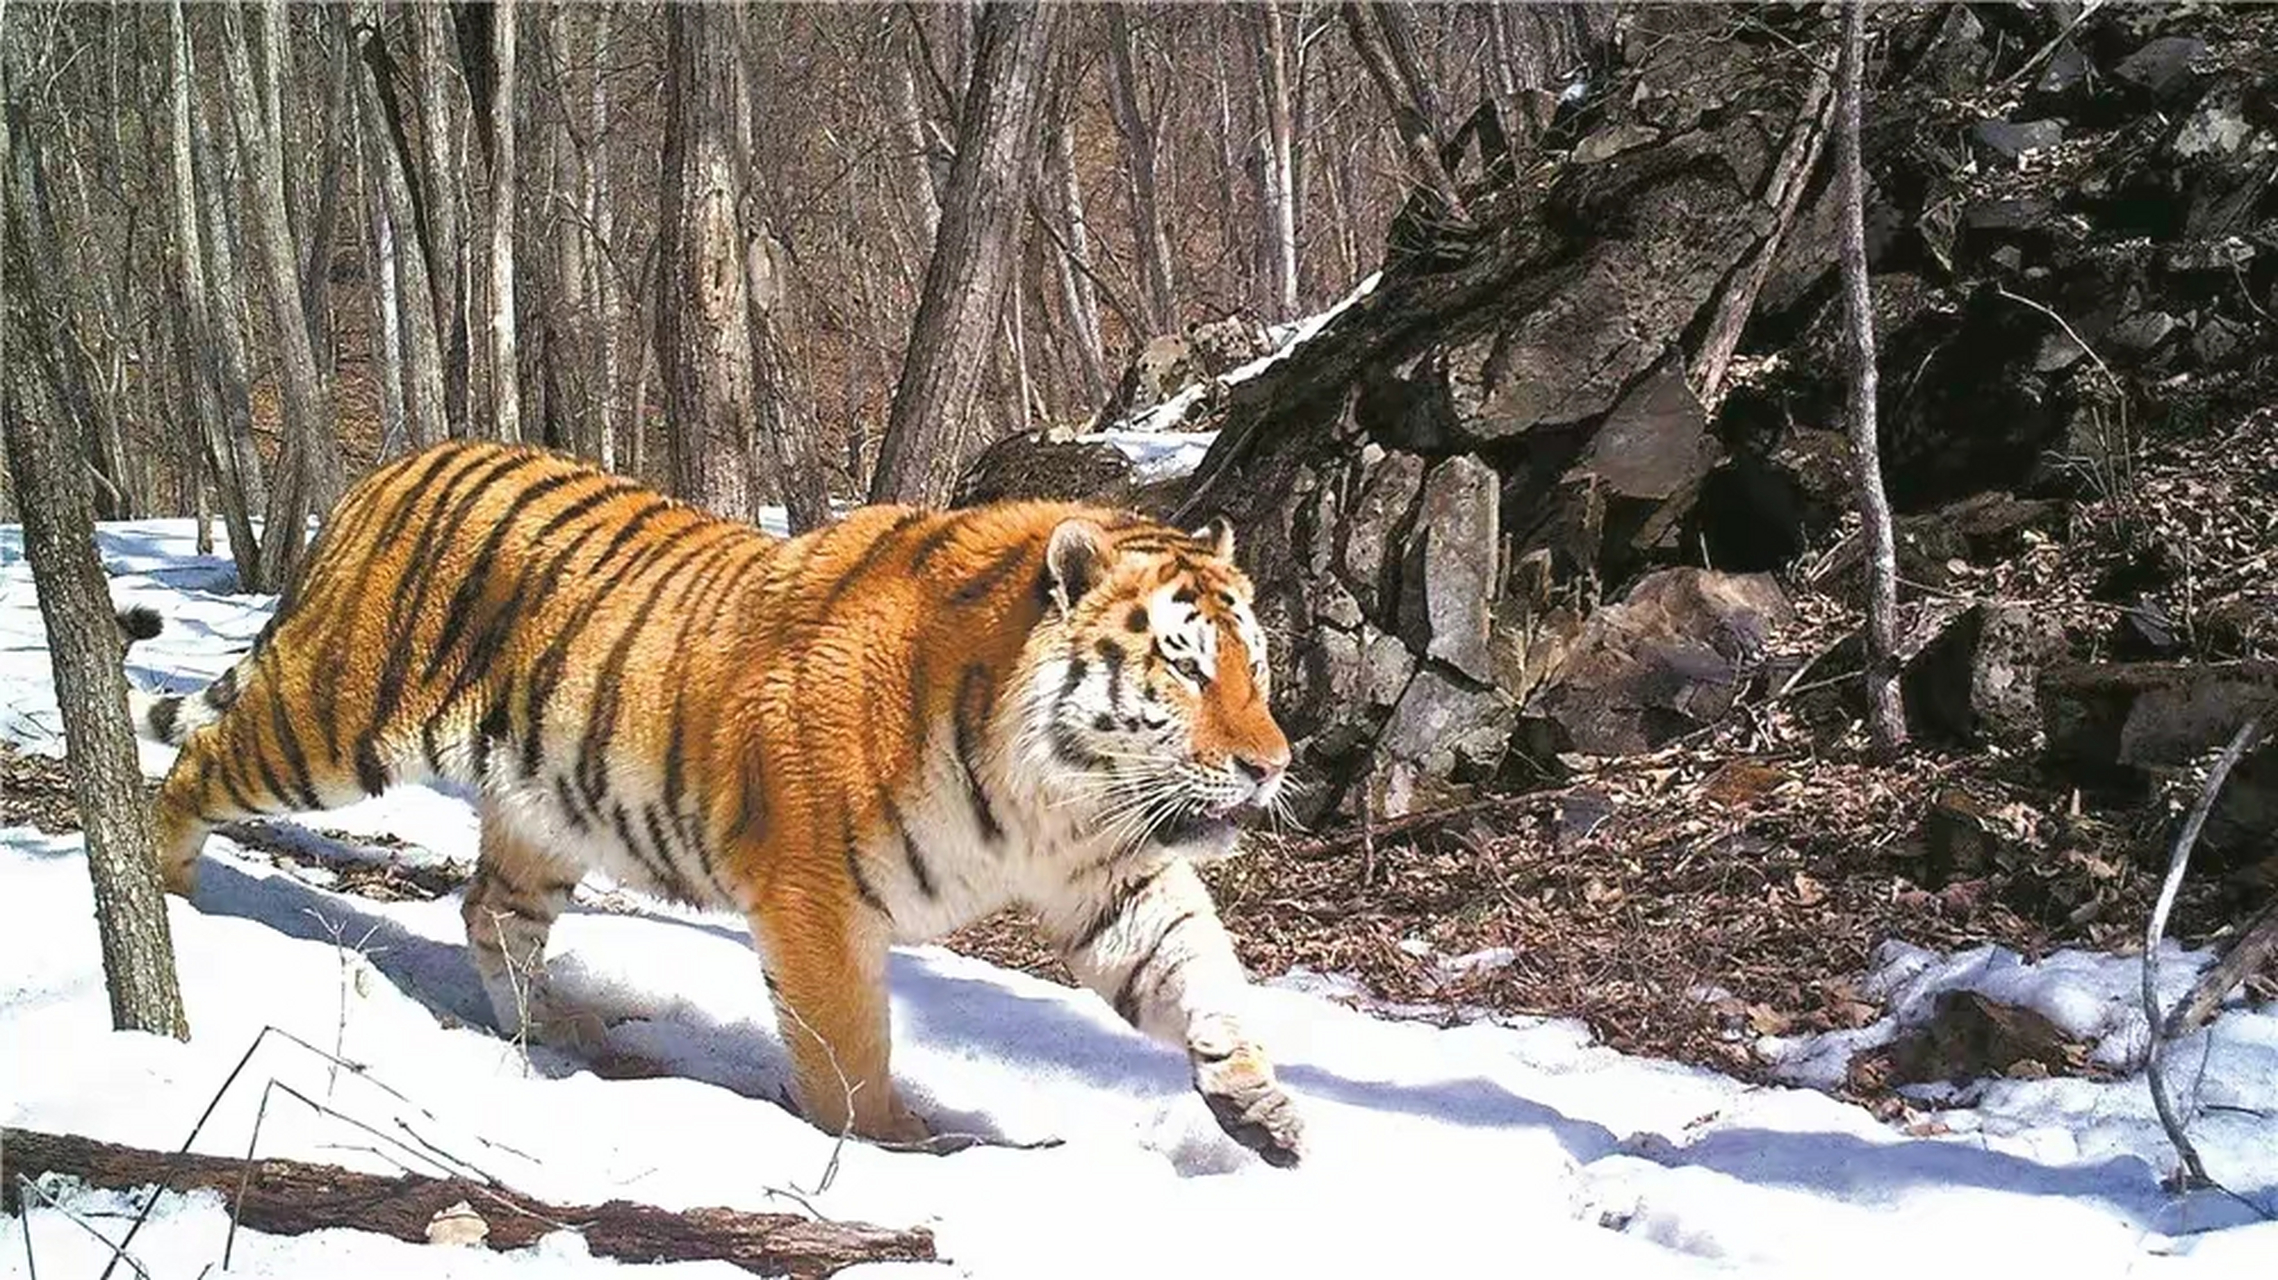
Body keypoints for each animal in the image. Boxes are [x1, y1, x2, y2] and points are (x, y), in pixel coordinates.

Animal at [120, 439, 1307, 1166]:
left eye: (1254, 664)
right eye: (1185, 667)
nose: (1271, 763)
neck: (1049, 792)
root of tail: (387, 468)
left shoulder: (1110, 870)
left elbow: (1197, 970)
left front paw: (1257, 1099)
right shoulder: (815, 892)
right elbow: (848, 1042)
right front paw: (892, 1145)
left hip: (541, 810)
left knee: (490, 911)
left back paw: (552, 1033)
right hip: (330, 721)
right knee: (195, 764)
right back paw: (162, 890)